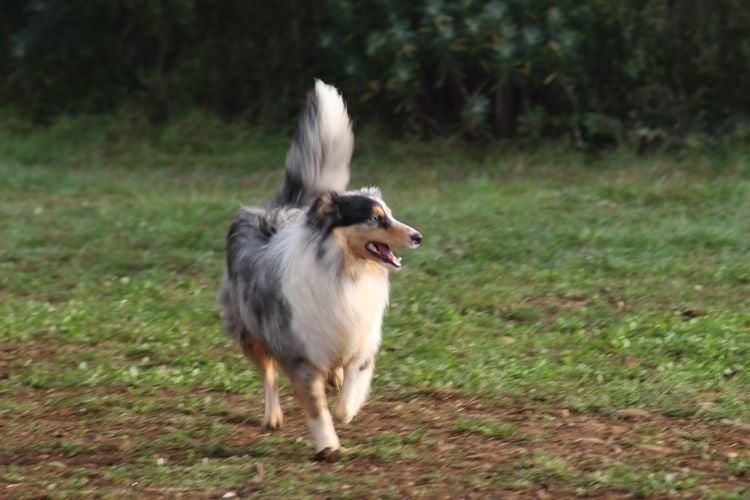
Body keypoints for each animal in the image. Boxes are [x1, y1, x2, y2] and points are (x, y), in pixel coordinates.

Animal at [220, 79, 426, 460]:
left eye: (390, 214)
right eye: (375, 218)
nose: (418, 237)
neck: (346, 271)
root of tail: (277, 208)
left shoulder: (360, 337)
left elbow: (353, 381)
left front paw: (345, 409)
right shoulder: (298, 349)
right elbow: (316, 406)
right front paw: (328, 444)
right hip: (249, 328)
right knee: (268, 375)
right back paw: (272, 415)